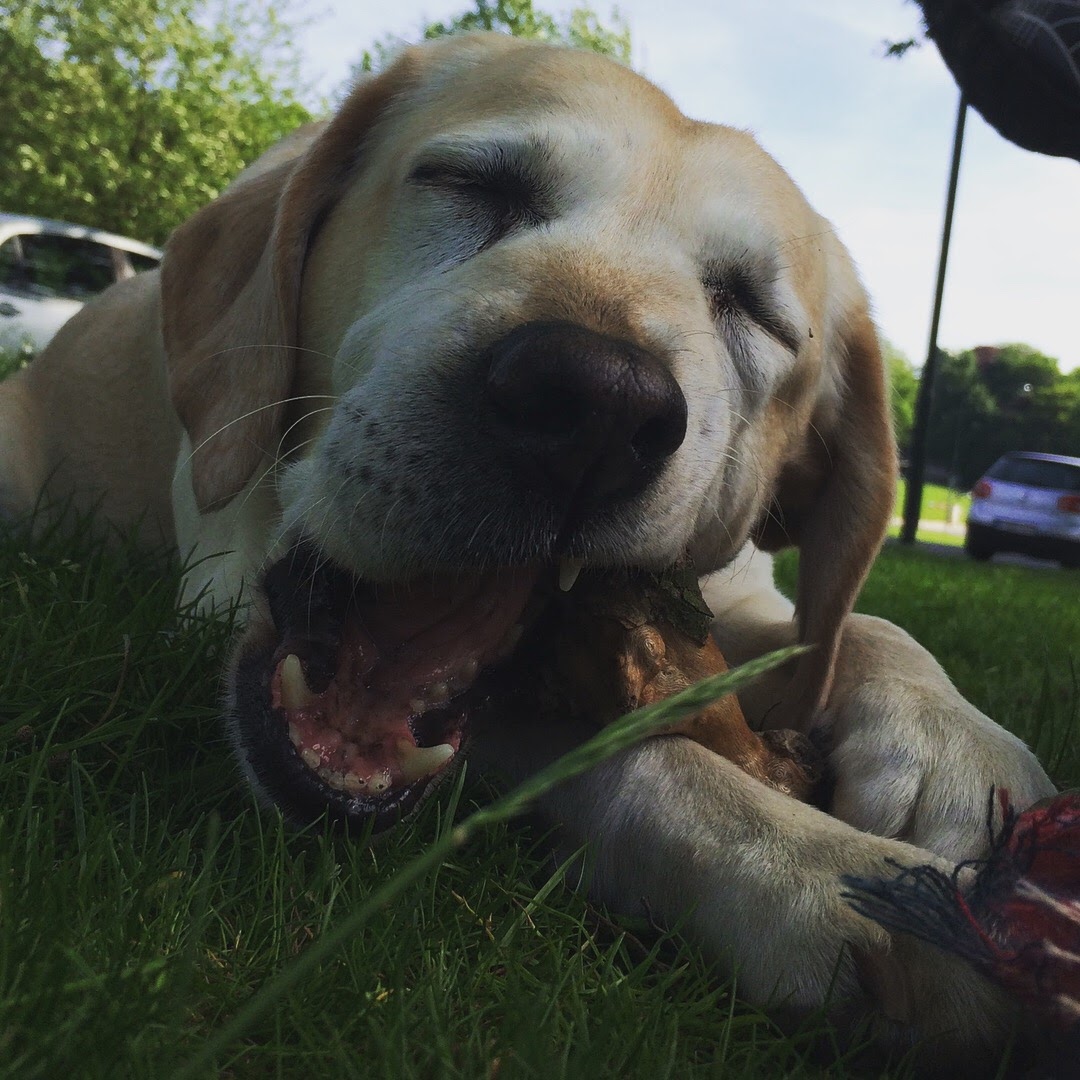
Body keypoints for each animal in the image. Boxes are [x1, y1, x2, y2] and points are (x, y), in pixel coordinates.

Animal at [0, 33, 1049, 1071]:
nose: (597, 405)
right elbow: (634, 755)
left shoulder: (730, 598)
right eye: (470, 182)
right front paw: (825, 868)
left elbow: (863, 627)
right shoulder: (215, 602)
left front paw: (960, 757)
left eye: (749, 307)